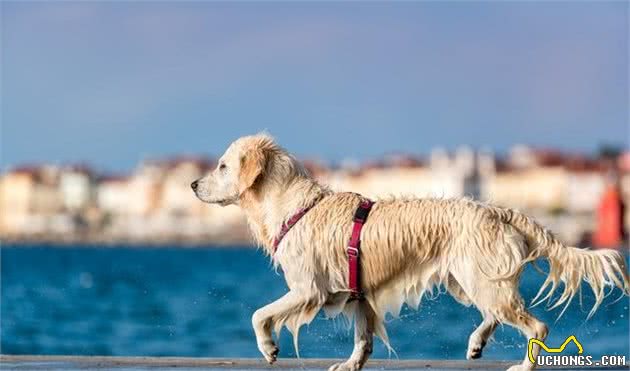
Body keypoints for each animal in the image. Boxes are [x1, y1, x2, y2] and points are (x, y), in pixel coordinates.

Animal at [193, 134, 630, 371]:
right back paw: (476, 343)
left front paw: (268, 348)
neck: (293, 206)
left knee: (535, 327)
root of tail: (496, 209)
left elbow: (258, 314)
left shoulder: (307, 290)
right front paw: (350, 364)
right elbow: (363, 339)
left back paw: (524, 363)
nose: (194, 184)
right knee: (495, 314)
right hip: (470, 281)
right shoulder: (360, 295)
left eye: (222, 166)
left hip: (481, 280)